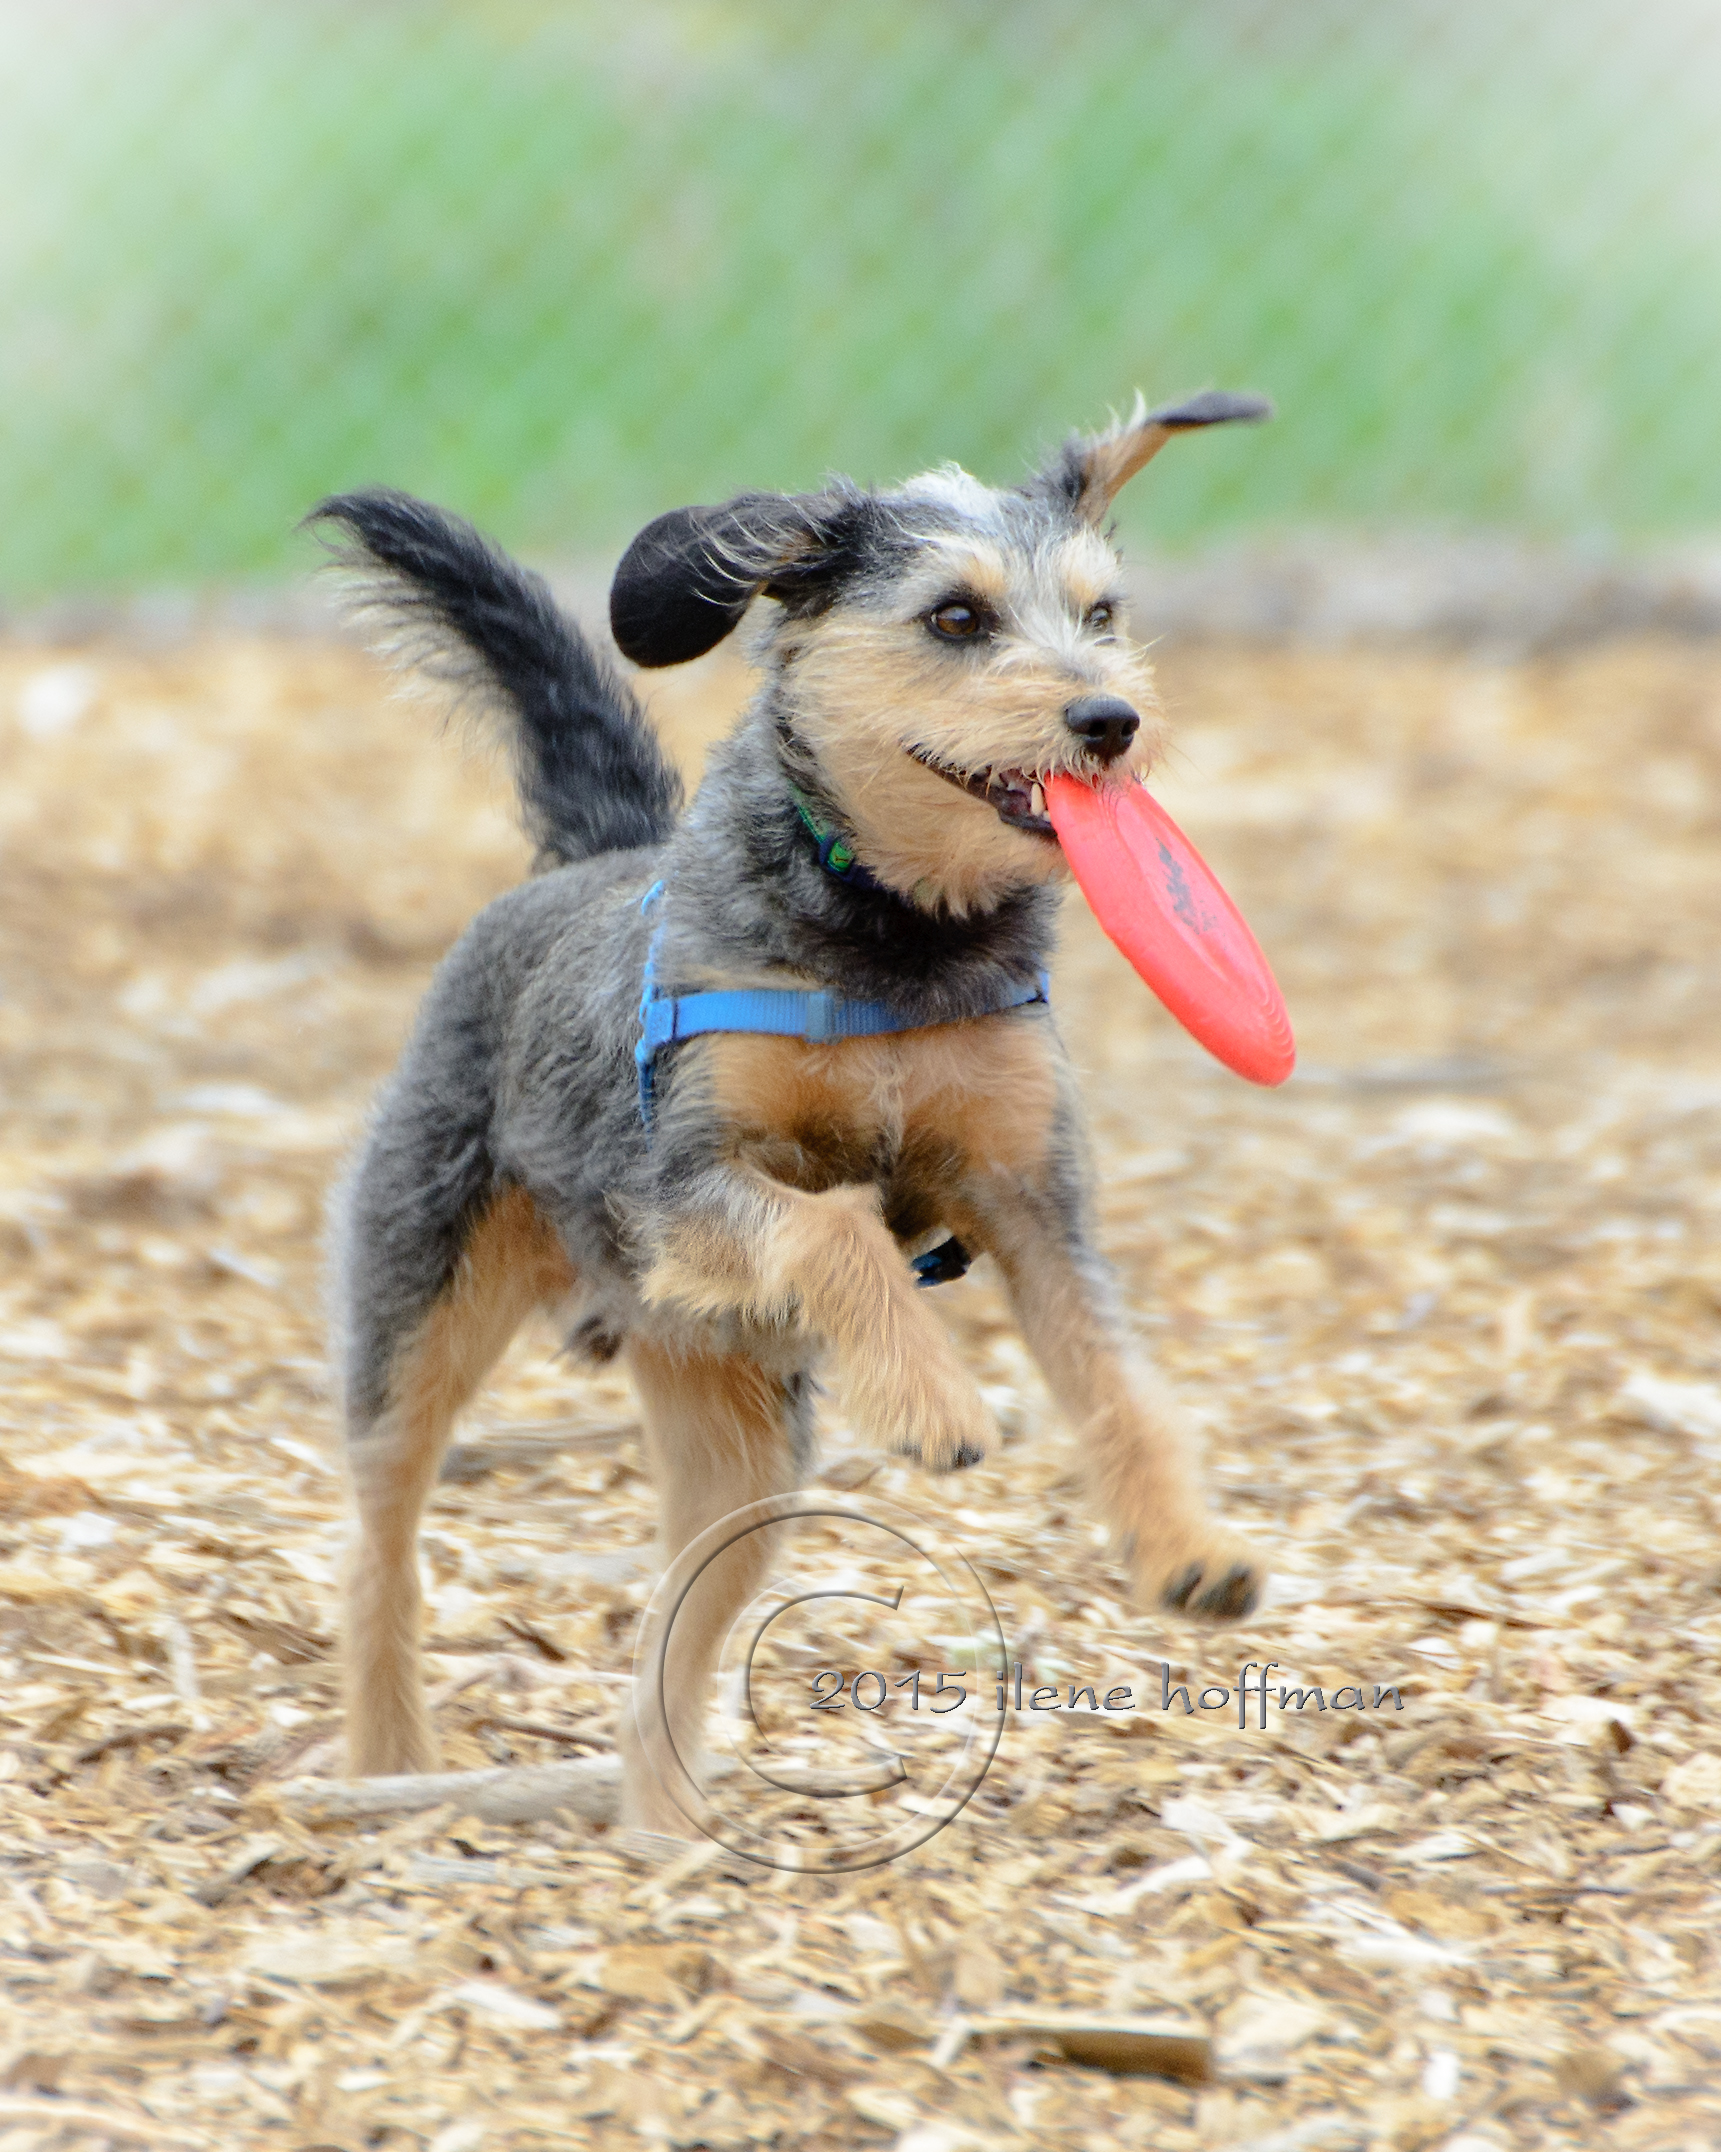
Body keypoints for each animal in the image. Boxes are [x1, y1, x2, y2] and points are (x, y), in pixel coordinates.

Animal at [312, 387, 1271, 1836]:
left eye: (1100, 610)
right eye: (954, 616)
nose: (1108, 720)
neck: (891, 938)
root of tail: (589, 859)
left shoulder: (1034, 1202)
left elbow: (1119, 1382)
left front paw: (1184, 1547)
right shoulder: (678, 1192)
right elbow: (831, 1228)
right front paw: (932, 1399)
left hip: (743, 1448)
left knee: (678, 1626)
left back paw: (665, 1826)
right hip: (422, 1306)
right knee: (385, 1548)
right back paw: (389, 1764)